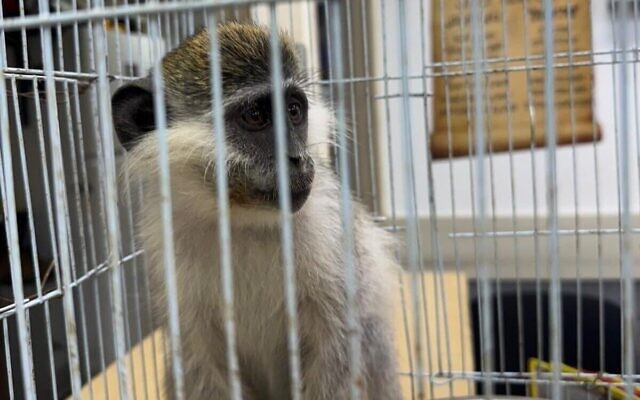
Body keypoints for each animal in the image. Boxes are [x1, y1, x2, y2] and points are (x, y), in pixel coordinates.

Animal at [111, 22, 402, 400]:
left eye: (293, 111)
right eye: (256, 116)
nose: (297, 158)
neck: (240, 220)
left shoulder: (329, 231)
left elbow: (338, 353)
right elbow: (202, 366)